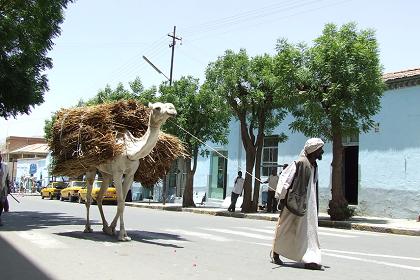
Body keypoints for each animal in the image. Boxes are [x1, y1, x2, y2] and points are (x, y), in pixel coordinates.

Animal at [83, 102, 176, 241]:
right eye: (157, 108)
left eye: (169, 105)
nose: (172, 109)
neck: (130, 151)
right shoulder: (118, 172)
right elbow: (120, 202)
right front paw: (122, 235)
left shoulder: (130, 174)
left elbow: (122, 203)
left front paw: (113, 229)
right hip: (91, 168)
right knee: (88, 198)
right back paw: (88, 228)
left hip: (106, 174)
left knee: (99, 197)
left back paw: (105, 227)